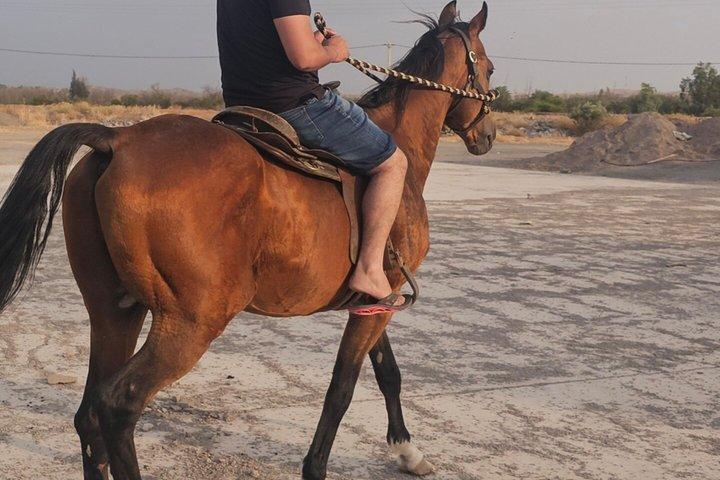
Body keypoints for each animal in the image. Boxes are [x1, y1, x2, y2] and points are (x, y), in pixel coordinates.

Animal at [0, 2, 496, 479]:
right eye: (488, 68)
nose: (487, 136)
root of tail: (116, 139)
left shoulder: (375, 299)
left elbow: (387, 371)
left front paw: (408, 451)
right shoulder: (383, 296)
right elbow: (342, 388)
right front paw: (318, 467)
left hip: (115, 311)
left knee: (88, 416)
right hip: (191, 322)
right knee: (118, 406)